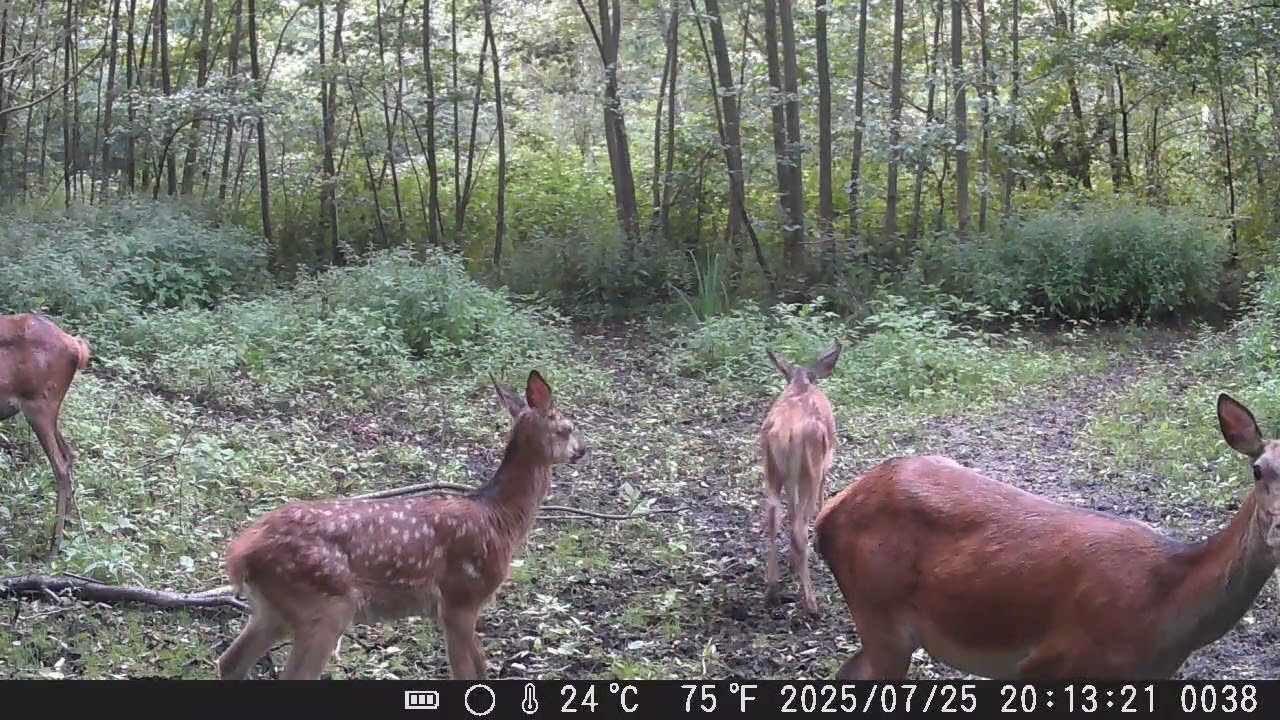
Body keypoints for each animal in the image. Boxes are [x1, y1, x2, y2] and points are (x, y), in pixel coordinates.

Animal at [1, 313, 92, 556]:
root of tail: (77, 346)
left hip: (39, 404)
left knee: (59, 466)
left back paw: (54, 549)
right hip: (49, 411)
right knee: (69, 454)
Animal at [215, 369, 587, 680]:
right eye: (567, 428)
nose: (583, 450)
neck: (499, 519)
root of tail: (240, 554)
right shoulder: (460, 596)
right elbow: (467, 672)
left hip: (272, 609)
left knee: (229, 663)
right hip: (323, 603)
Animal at [759, 340, 841, 617]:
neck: (800, 384)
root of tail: (786, 432)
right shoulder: (826, 462)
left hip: (772, 468)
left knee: (774, 516)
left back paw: (772, 589)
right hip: (810, 470)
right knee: (798, 526)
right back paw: (812, 604)